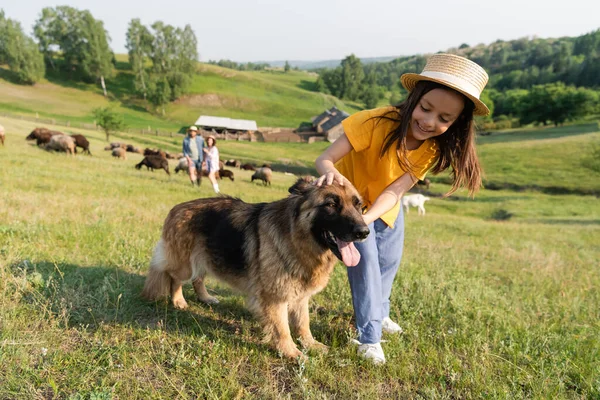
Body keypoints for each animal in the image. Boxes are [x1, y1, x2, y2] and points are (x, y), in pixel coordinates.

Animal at [142, 177, 368, 356]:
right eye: (331, 204)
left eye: (358, 205)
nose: (364, 232)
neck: (295, 236)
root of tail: (176, 208)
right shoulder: (275, 298)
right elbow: (282, 329)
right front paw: (291, 352)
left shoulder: (300, 296)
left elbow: (303, 323)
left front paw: (310, 344)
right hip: (185, 264)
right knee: (174, 276)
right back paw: (178, 300)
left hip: (207, 256)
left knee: (199, 277)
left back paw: (205, 297)